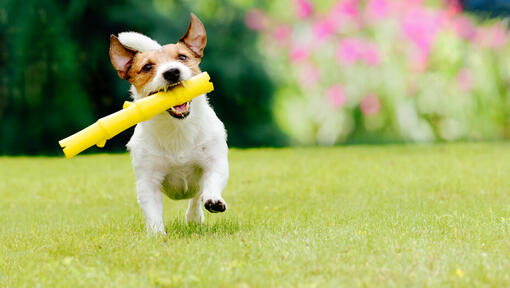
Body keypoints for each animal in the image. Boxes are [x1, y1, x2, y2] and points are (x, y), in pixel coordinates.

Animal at [109, 12, 229, 234]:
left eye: (182, 57)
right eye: (147, 67)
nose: (172, 72)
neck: (177, 129)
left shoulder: (214, 161)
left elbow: (212, 180)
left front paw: (213, 200)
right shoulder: (148, 181)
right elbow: (152, 211)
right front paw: (157, 235)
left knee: (196, 197)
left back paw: (194, 217)